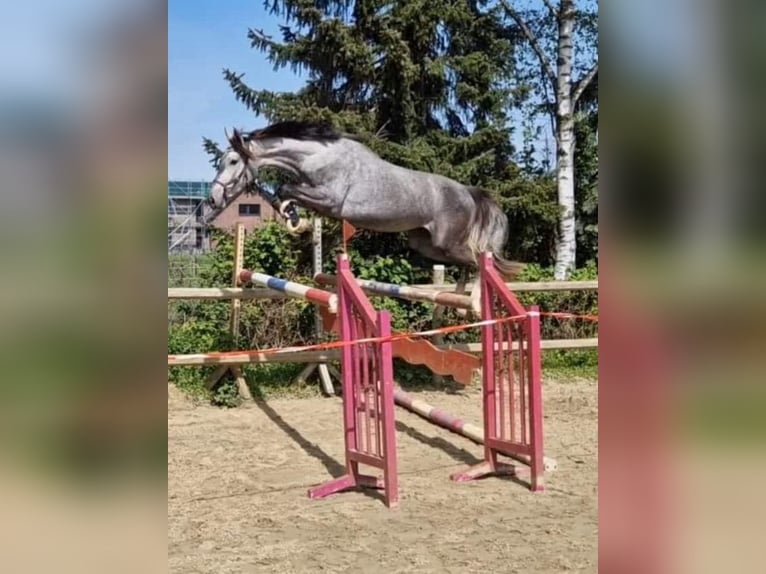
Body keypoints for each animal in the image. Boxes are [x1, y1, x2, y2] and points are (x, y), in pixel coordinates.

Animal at [207, 118, 524, 316]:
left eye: (233, 161)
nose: (213, 198)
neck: (317, 157)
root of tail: (468, 193)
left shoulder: (331, 201)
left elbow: (286, 189)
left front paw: (295, 218)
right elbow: (287, 193)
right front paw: (295, 219)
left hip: (446, 243)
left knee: (480, 259)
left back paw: (474, 302)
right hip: (427, 244)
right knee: (467, 264)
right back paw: (458, 304)